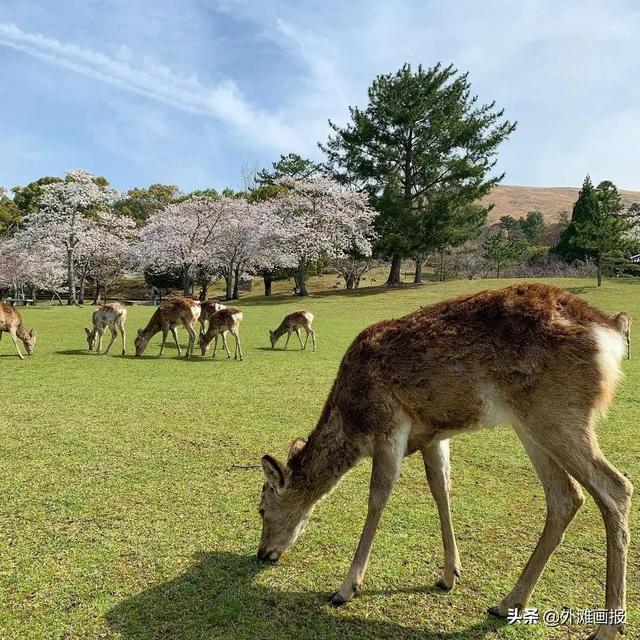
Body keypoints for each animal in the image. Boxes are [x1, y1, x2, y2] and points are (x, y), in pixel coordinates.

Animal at [258, 284, 632, 640]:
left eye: (260, 508)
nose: (262, 553)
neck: (352, 420)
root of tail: (611, 330)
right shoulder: (433, 434)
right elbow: (440, 488)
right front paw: (450, 574)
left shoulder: (389, 424)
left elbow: (378, 497)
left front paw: (346, 588)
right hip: (530, 423)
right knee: (565, 496)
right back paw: (508, 603)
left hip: (557, 412)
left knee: (616, 487)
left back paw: (607, 627)